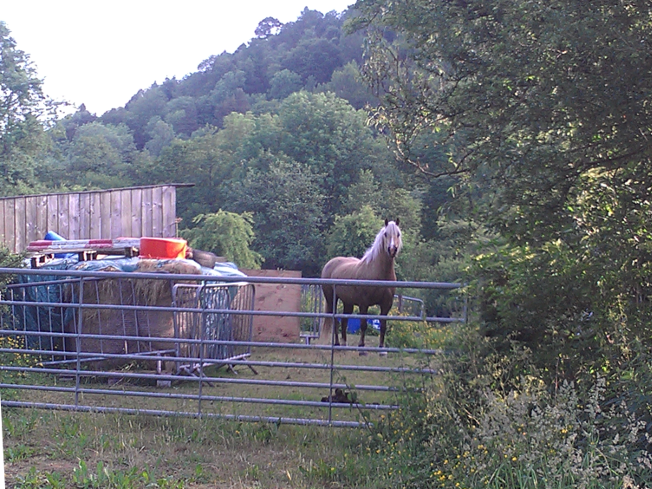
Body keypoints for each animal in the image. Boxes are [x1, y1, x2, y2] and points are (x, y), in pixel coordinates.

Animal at [320, 219, 400, 352]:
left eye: (398, 234)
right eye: (385, 234)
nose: (392, 249)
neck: (379, 273)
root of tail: (329, 263)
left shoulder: (386, 304)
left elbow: (383, 325)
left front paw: (382, 349)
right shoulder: (364, 303)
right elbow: (363, 324)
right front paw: (361, 347)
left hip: (348, 302)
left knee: (344, 321)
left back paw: (344, 344)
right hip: (332, 299)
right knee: (336, 321)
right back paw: (337, 344)